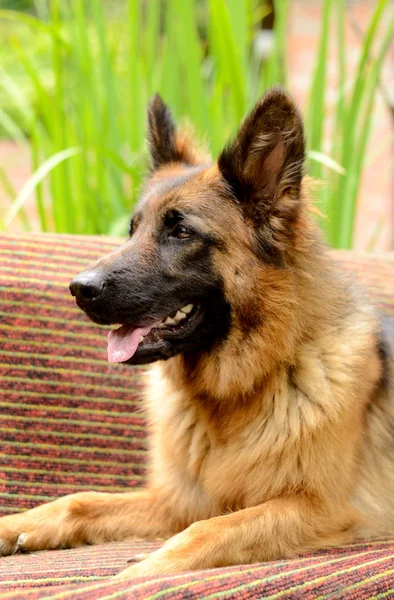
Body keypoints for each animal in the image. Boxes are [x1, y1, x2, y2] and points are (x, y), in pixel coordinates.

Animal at [0, 89, 394, 576]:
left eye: (182, 231)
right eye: (131, 230)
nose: (78, 288)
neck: (240, 389)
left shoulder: (317, 509)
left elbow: (207, 531)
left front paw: (137, 574)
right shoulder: (179, 500)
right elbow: (80, 501)